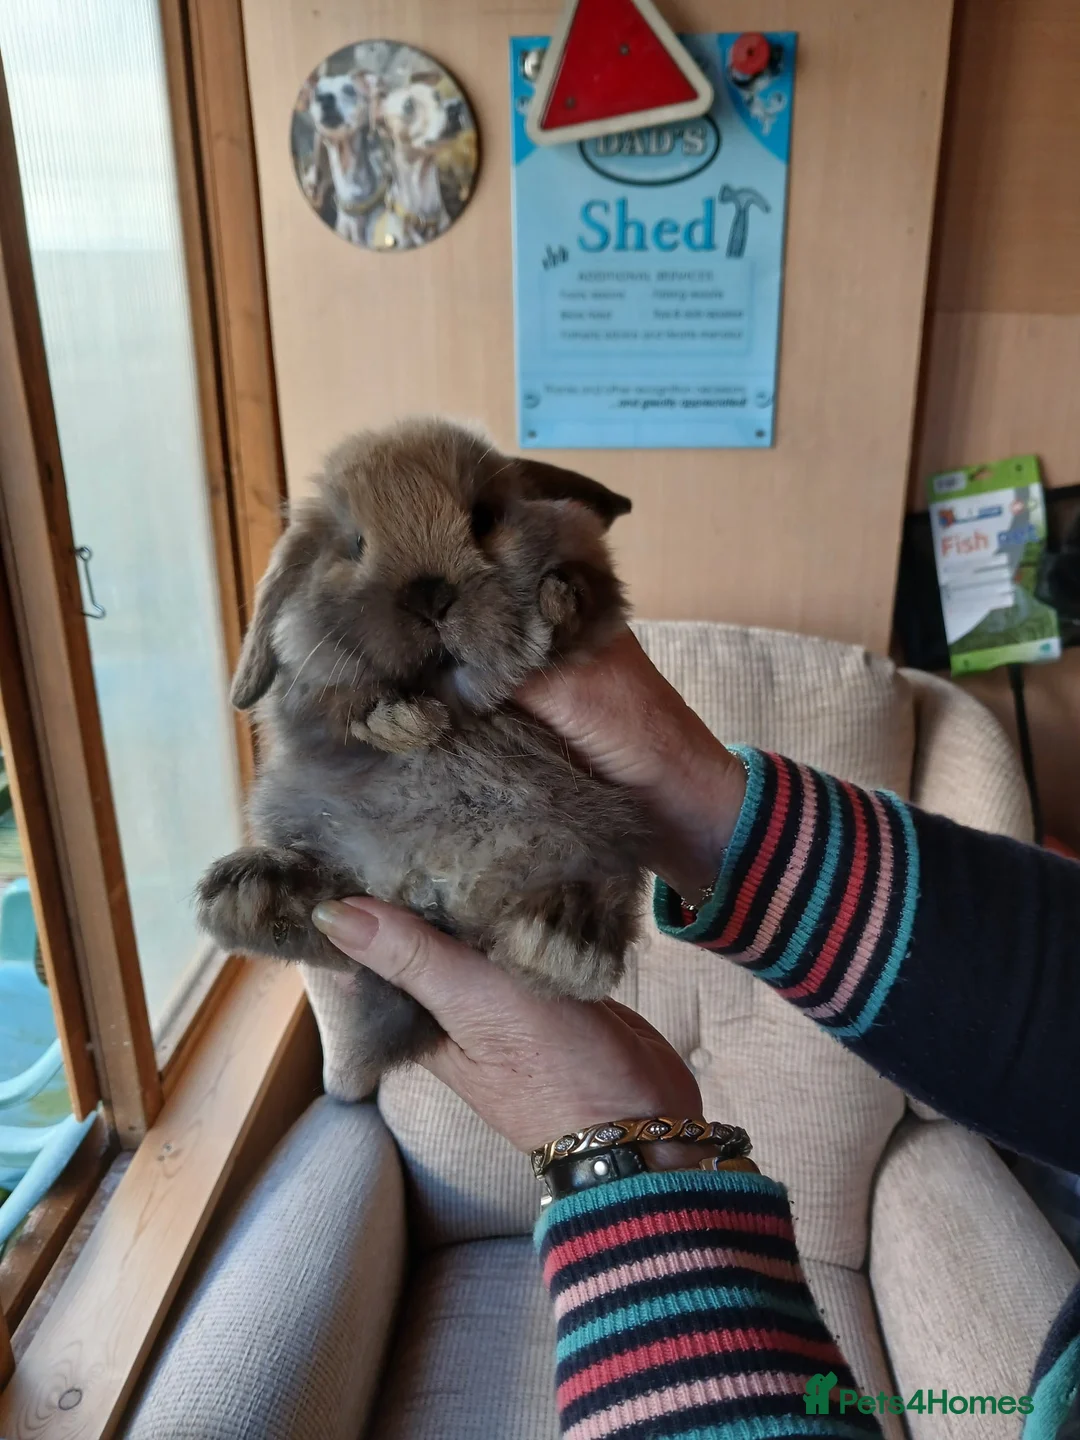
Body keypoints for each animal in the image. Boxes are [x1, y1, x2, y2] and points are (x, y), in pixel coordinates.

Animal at [196, 417, 651, 1088]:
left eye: (484, 517)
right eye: (354, 544)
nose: (431, 595)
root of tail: (426, 894)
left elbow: (587, 592)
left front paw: (555, 606)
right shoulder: (310, 701)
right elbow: (337, 708)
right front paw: (404, 723)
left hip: (597, 833)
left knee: (597, 889)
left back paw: (563, 940)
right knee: (324, 902)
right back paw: (251, 894)